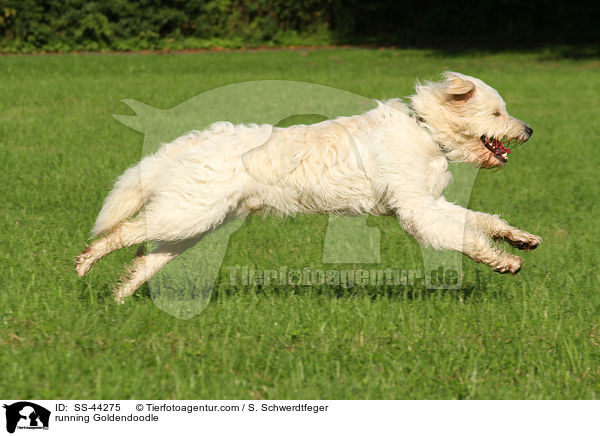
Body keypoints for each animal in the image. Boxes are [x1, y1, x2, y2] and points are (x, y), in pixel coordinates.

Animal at [77, 72, 540, 304]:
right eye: (497, 113)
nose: (530, 130)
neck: (425, 130)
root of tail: (191, 141)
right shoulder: (418, 212)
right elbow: (467, 237)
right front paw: (504, 262)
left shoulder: (430, 203)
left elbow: (480, 220)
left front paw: (519, 240)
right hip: (188, 215)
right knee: (121, 233)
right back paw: (86, 262)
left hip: (193, 223)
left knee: (144, 258)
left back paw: (120, 298)